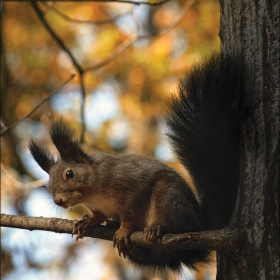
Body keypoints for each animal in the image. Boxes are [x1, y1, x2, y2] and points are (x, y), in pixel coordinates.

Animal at [29, 53, 242, 272]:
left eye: (69, 174)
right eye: (48, 186)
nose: (59, 201)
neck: (94, 192)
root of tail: (200, 225)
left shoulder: (130, 186)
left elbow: (130, 212)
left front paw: (124, 229)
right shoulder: (97, 205)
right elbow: (99, 215)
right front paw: (90, 221)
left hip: (170, 196)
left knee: (177, 223)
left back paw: (157, 228)